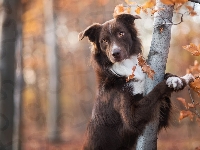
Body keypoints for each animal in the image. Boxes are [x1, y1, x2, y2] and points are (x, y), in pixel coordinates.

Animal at [78, 13, 194, 149]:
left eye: (121, 33)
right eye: (104, 41)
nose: (115, 53)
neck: (125, 68)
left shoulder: (161, 119)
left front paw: (175, 78)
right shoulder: (132, 119)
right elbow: (156, 90)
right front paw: (181, 80)